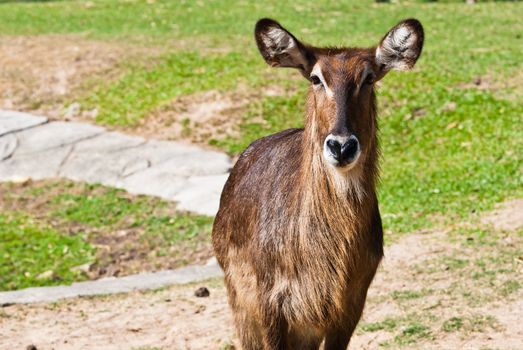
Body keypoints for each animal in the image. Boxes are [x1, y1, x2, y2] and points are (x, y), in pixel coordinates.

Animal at [213, 17, 426, 348]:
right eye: (316, 78)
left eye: (368, 78)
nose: (341, 146)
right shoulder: (269, 305)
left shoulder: (348, 307)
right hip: (243, 306)